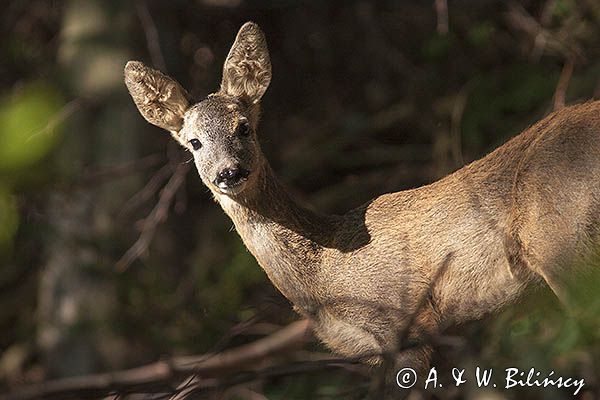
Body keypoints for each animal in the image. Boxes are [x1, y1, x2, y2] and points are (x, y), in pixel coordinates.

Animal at [124, 21, 600, 372]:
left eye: (244, 128)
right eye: (194, 142)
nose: (229, 172)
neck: (324, 274)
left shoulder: (403, 320)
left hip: (561, 240)